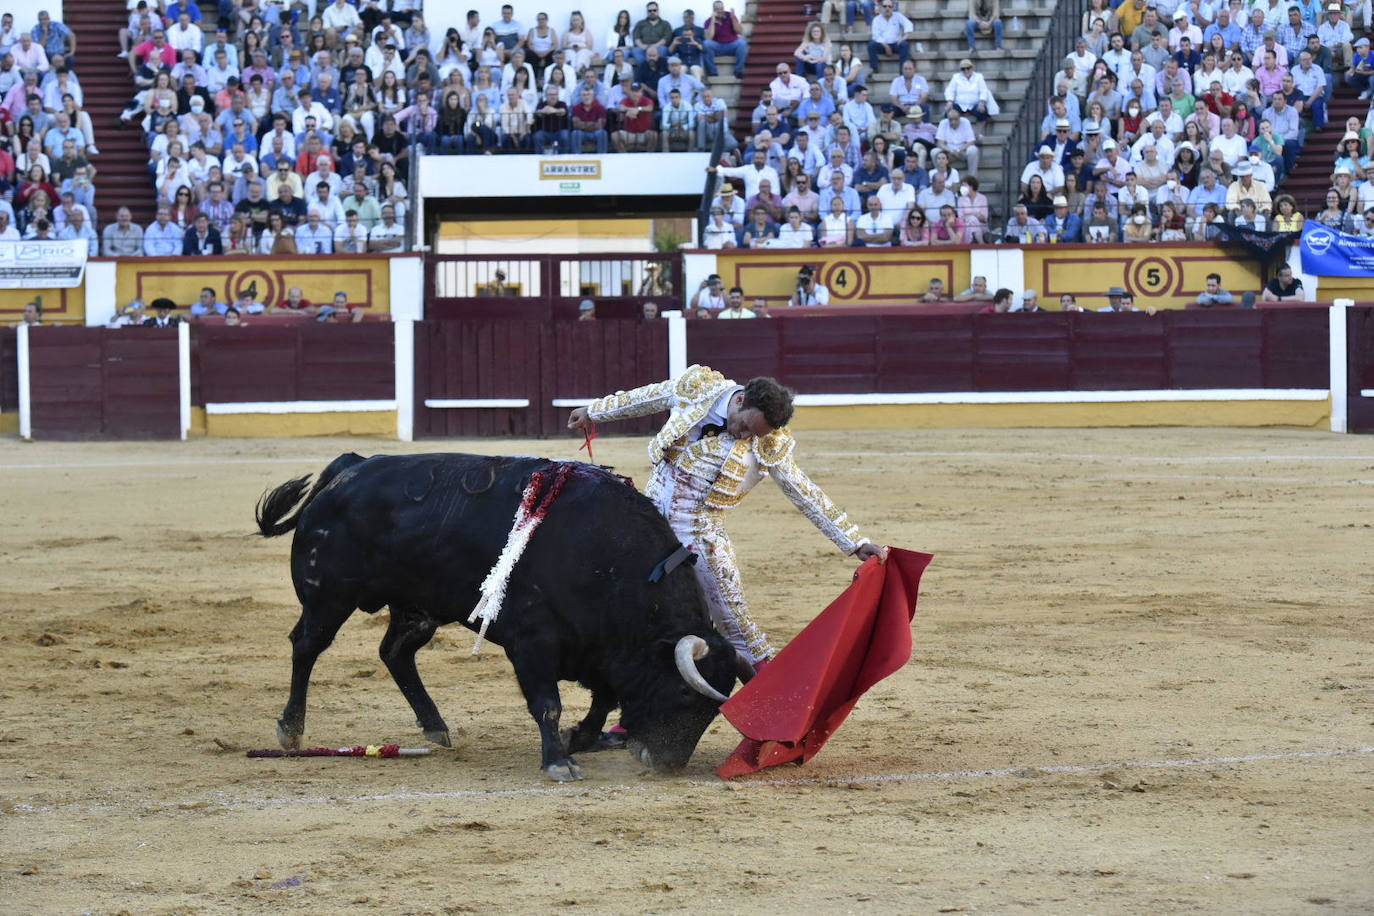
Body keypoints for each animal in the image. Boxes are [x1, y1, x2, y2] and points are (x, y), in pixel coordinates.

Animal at [256, 450, 741, 780]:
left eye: (712, 711)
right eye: (684, 695)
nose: (667, 763)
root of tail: (348, 469)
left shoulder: (600, 648)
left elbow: (603, 699)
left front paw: (579, 739)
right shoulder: (533, 641)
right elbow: (548, 703)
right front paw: (559, 760)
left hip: (417, 607)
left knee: (395, 653)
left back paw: (436, 728)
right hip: (329, 598)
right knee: (307, 647)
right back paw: (291, 728)